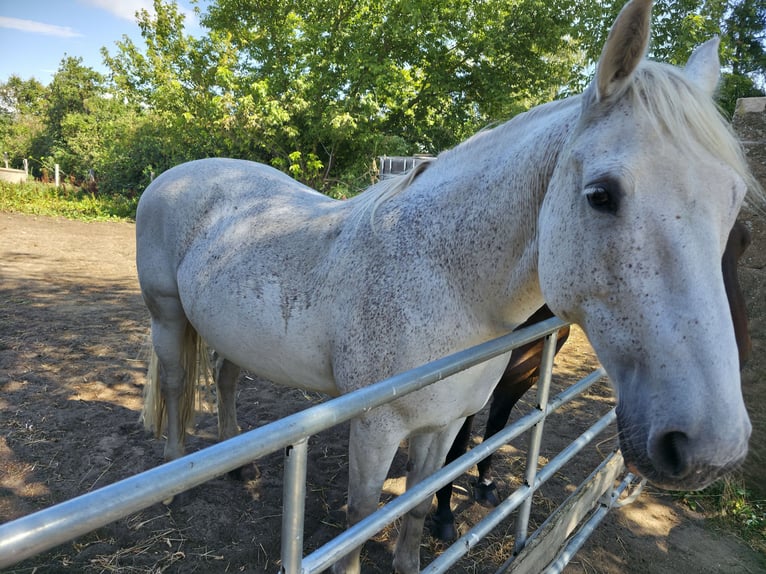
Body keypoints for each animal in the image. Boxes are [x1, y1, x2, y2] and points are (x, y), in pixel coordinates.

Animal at [430, 220, 752, 542]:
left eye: (743, 241)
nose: (734, 358)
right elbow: (455, 453)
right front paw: (444, 515)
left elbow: (495, 433)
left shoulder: (520, 380)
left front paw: (484, 484)